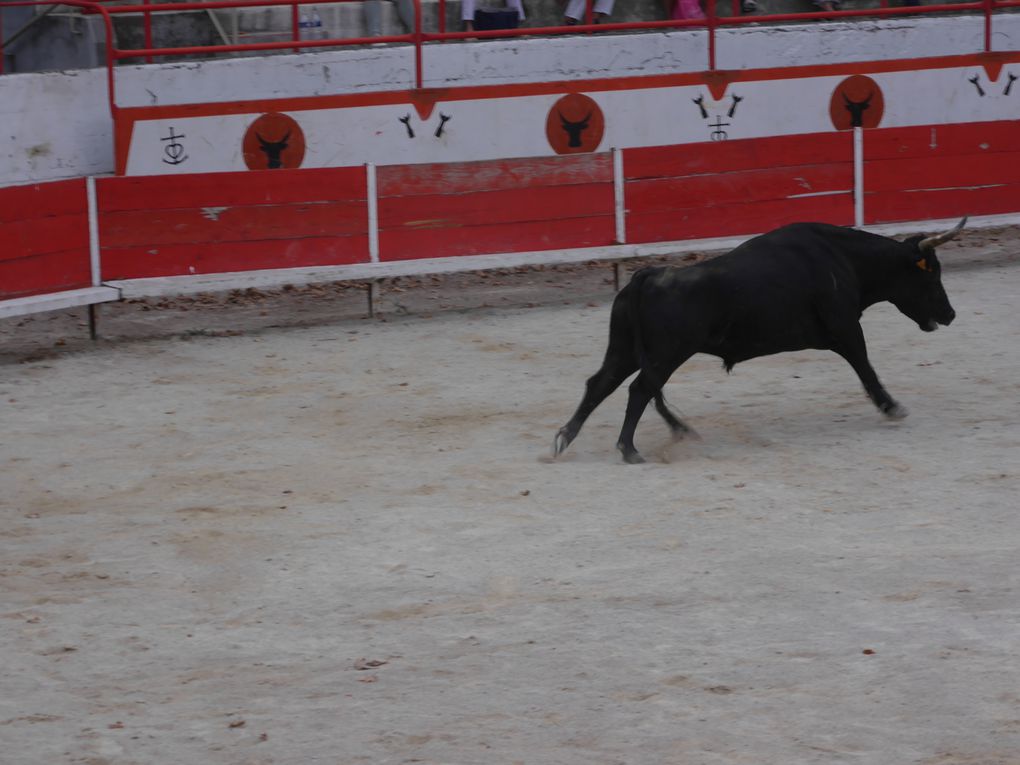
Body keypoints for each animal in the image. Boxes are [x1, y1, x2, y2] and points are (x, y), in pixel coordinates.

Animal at [558, 218, 962, 465]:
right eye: (932, 275)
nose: (950, 314)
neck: (843, 258)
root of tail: (649, 275)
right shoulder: (846, 328)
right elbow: (866, 368)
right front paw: (891, 407)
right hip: (666, 355)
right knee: (639, 389)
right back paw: (628, 449)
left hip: (625, 349)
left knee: (602, 383)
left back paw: (565, 438)